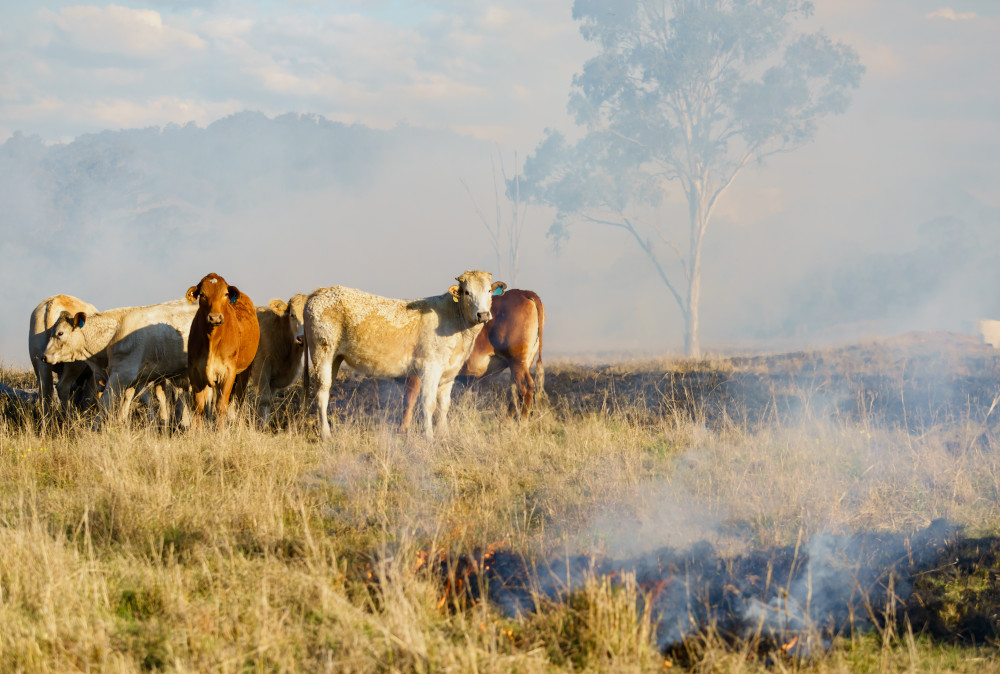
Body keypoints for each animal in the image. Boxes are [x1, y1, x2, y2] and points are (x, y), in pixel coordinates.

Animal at [41, 299, 198, 426]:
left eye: (60, 333)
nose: (44, 357)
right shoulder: (137, 378)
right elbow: (136, 400)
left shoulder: (122, 374)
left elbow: (105, 401)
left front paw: (93, 428)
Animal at [186, 273, 260, 427]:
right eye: (202, 294)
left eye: (225, 294)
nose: (215, 317)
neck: (212, 340)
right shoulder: (195, 372)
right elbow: (199, 407)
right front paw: (196, 431)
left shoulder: (228, 372)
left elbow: (221, 406)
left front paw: (221, 431)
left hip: (244, 372)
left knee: (240, 399)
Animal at [239, 294, 308, 425]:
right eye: (292, 315)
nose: (302, 338)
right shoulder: (262, 366)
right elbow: (264, 399)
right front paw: (262, 426)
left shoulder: (275, 380)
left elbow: (270, 401)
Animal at [303, 270, 504, 440]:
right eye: (467, 292)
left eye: (489, 291)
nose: (483, 314)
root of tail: (321, 291)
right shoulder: (430, 367)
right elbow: (428, 403)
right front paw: (429, 437)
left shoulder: (449, 372)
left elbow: (443, 406)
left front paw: (444, 435)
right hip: (322, 352)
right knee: (322, 393)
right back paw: (326, 434)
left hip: (335, 358)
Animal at [403, 288, 545, 421]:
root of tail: (523, 292)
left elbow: (409, 404)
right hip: (521, 363)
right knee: (515, 392)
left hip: (517, 361)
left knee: (524, 388)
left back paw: (522, 422)